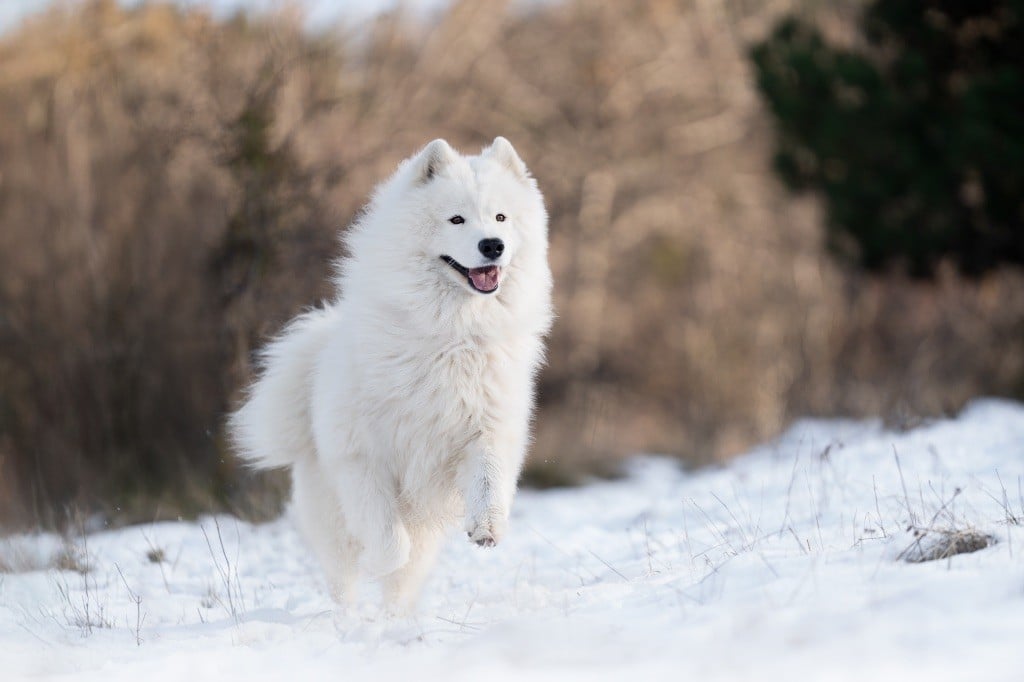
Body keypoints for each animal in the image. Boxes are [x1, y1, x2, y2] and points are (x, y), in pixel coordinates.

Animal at [229, 135, 557, 606]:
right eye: (456, 219)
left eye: (500, 217)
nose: (492, 244)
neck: (453, 334)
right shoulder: (362, 458)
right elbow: (386, 539)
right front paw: (378, 560)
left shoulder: (487, 427)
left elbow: (489, 479)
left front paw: (487, 527)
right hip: (331, 521)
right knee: (346, 579)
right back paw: (350, 615)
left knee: (402, 586)